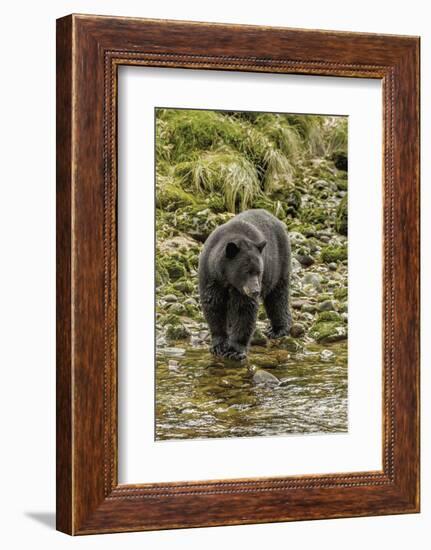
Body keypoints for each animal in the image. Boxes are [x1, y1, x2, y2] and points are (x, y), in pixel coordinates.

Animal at [199, 208, 294, 362]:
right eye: (247, 272)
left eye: (259, 271)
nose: (255, 291)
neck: (227, 279)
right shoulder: (211, 277)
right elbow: (213, 305)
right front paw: (218, 345)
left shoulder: (242, 289)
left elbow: (243, 309)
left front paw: (235, 351)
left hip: (280, 263)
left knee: (278, 296)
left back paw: (277, 329)